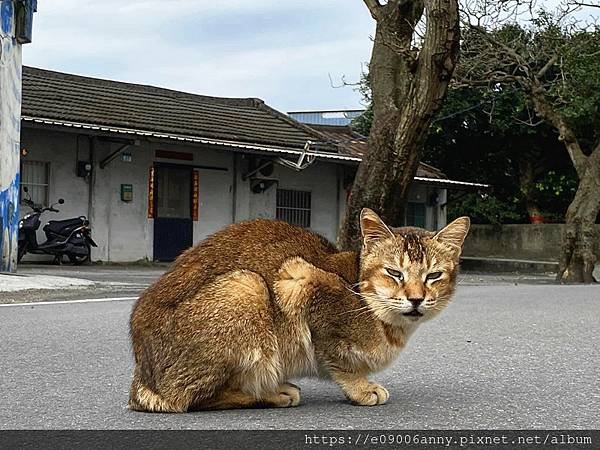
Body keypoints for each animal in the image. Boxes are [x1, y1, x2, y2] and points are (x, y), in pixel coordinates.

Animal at [130, 207, 468, 412]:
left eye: (433, 275)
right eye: (394, 273)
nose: (416, 298)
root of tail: (142, 380)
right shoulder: (299, 280)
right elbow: (337, 357)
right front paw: (361, 387)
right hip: (247, 286)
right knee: (185, 398)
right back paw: (268, 393)